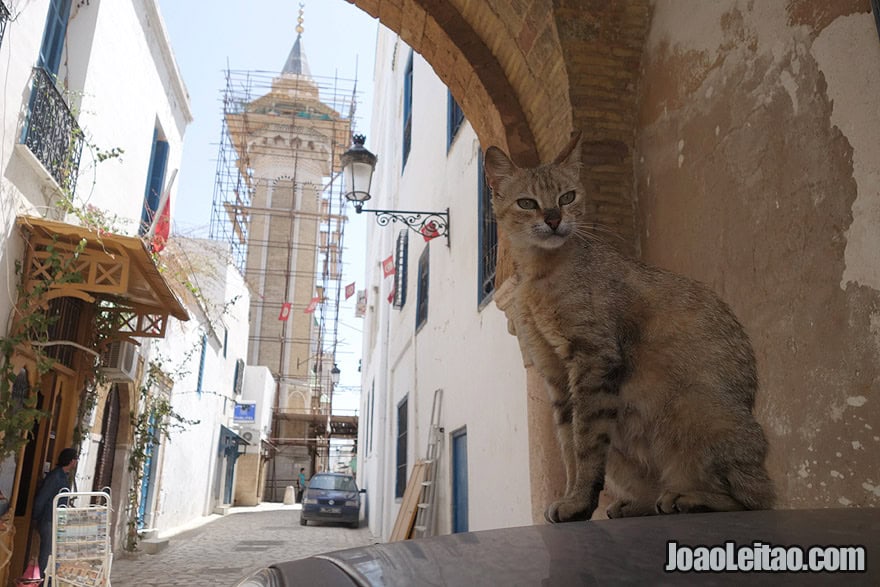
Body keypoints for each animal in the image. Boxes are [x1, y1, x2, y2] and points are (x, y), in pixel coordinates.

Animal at [484, 132, 772, 524]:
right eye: (527, 203)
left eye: (567, 197)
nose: (554, 219)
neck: (539, 273)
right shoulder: (555, 373)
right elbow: (568, 446)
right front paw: (572, 497)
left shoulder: (592, 358)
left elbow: (585, 443)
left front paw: (578, 502)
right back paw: (641, 503)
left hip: (694, 409)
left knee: (755, 499)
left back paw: (688, 497)